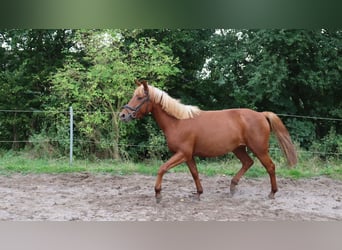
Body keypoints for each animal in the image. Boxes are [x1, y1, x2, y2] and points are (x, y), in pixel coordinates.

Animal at [120, 80, 296, 203]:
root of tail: (261, 115)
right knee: (248, 162)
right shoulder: (188, 156)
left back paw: (272, 193)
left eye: (139, 97)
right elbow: (195, 173)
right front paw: (199, 193)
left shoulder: (182, 154)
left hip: (259, 149)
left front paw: (158, 194)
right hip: (238, 148)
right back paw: (233, 187)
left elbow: (162, 169)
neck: (178, 122)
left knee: (270, 167)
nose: (123, 115)